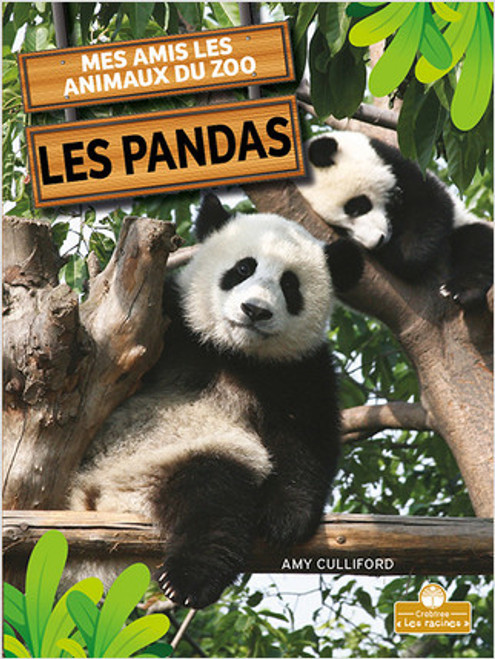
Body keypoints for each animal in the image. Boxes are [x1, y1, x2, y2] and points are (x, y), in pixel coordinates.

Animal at [69, 194, 364, 609]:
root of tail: (100, 500)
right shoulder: (171, 321)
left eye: (290, 284)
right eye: (242, 269)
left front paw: (286, 519)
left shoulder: (298, 370)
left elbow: (305, 438)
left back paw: (190, 578)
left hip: (181, 458)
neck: (231, 351)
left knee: (213, 499)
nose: (255, 310)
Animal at [297, 131, 493, 310]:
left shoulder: (401, 167)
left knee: (477, 244)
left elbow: (430, 208)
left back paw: (461, 290)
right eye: (340, 228)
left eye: (355, 208)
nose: (376, 242)